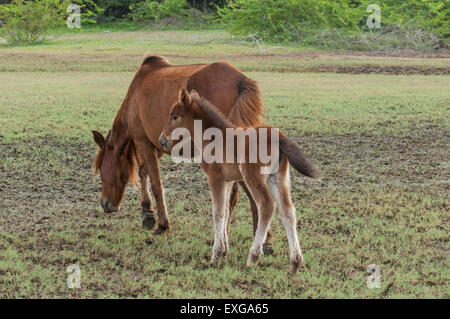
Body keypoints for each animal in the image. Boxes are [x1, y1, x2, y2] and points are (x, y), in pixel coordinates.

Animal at [91, 56, 274, 252]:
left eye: (101, 169)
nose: (105, 204)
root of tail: (241, 80)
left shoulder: (143, 142)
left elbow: (155, 183)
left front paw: (162, 224)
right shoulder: (158, 145)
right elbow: (144, 171)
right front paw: (147, 213)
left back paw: (260, 239)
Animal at [160, 89, 322, 276]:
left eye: (174, 116)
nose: (162, 140)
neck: (214, 138)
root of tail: (277, 136)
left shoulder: (215, 178)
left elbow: (217, 213)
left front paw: (216, 255)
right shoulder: (228, 180)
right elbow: (226, 211)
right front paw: (223, 250)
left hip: (252, 176)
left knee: (266, 205)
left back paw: (253, 257)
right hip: (278, 178)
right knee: (287, 210)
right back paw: (295, 262)